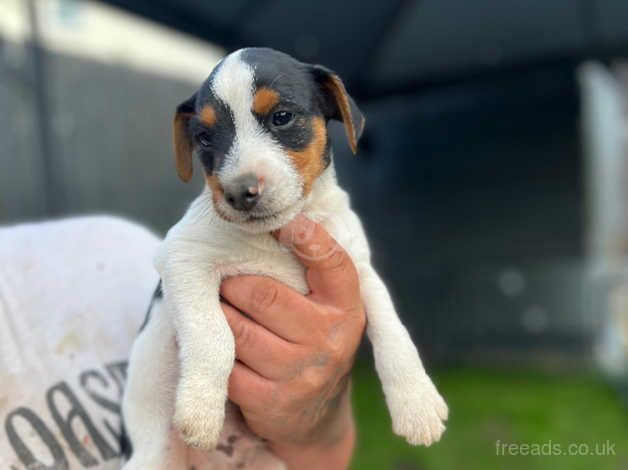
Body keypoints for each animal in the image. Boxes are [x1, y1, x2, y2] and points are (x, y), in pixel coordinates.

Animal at [121, 46, 446, 466]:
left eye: (281, 117)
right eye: (204, 138)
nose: (239, 192)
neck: (275, 238)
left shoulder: (360, 270)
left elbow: (395, 333)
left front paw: (417, 404)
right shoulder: (182, 256)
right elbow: (213, 336)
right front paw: (200, 410)